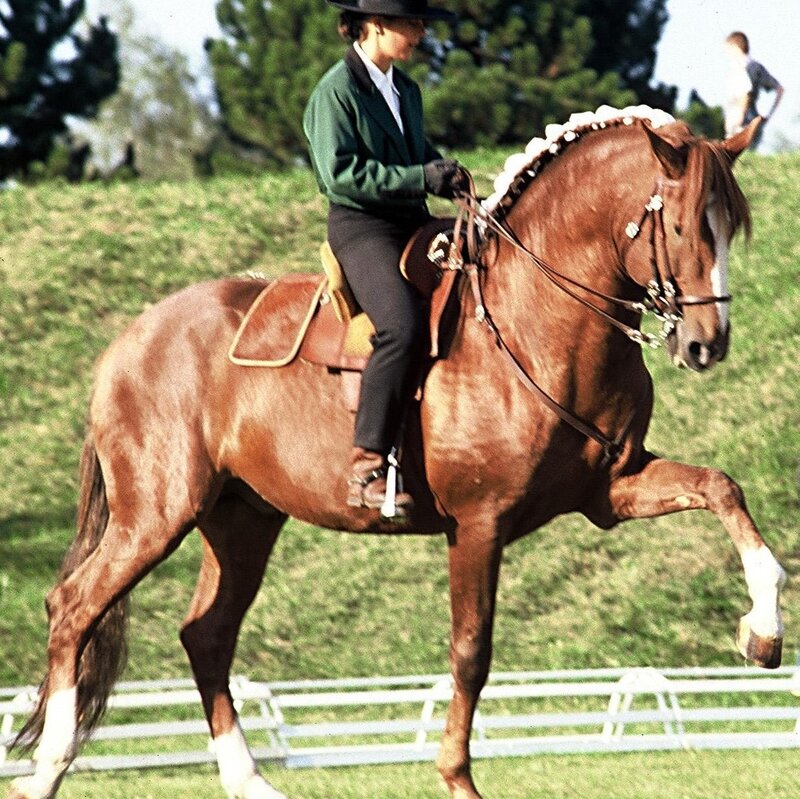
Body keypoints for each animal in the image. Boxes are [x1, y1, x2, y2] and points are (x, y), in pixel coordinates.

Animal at [9, 109, 785, 799]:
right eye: (681, 225)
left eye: (730, 227)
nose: (707, 343)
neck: (536, 316)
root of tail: (128, 341)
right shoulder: (479, 524)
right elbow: (470, 653)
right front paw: (457, 777)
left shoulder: (612, 490)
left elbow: (721, 487)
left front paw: (763, 629)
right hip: (155, 514)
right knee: (74, 608)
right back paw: (47, 769)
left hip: (241, 521)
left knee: (206, 636)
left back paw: (250, 780)